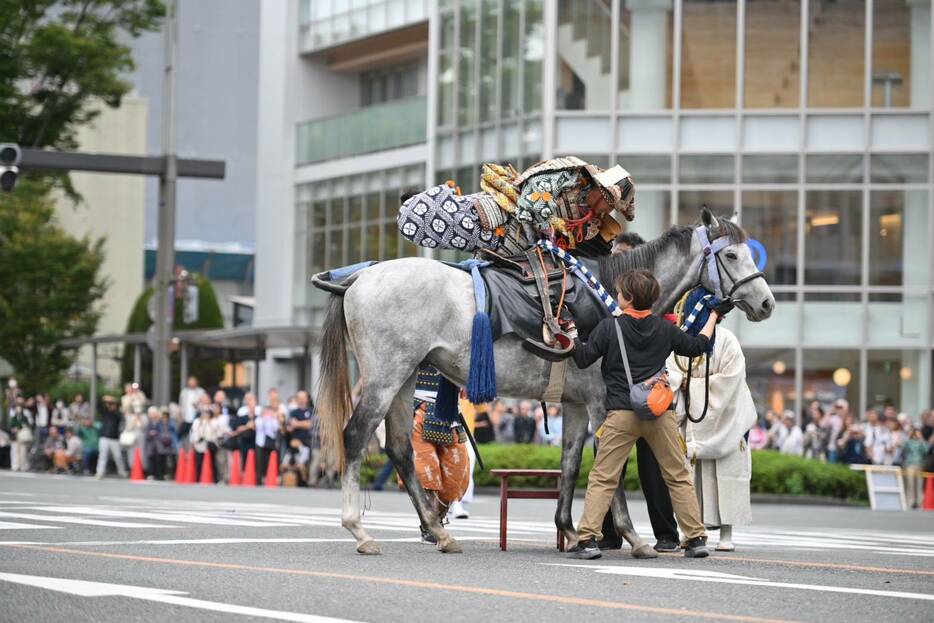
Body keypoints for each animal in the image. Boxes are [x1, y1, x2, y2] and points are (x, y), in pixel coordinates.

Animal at [314, 208, 776, 556]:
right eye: (731, 256)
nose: (767, 302)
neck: (613, 301)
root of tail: (360, 277)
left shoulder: (575, 403)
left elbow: (571, 464)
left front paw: (570, 531)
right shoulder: (603, 401)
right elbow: (611, 468)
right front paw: (630, 536)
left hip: (406, 374)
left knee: (399, 448)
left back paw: (439, 531)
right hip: (386, 375)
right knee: (356, 437)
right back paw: (359, 529)